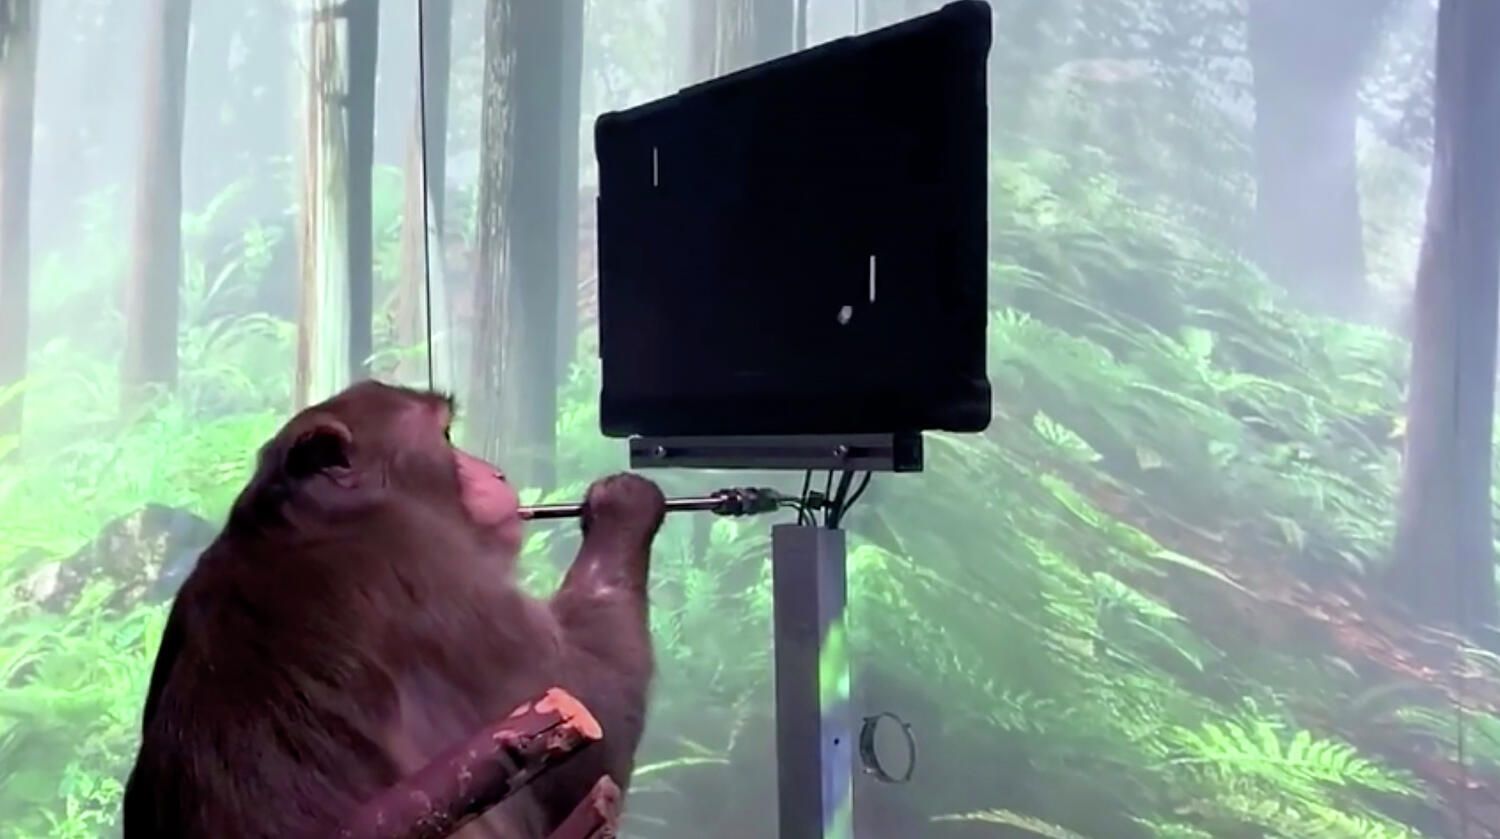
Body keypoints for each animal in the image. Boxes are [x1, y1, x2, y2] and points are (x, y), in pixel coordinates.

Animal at [120, 379, 666, 838]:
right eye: (445, 435)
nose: (498, 472)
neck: (316, 520)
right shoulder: (439, 572)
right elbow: (590, 721)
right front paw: (624, 506)